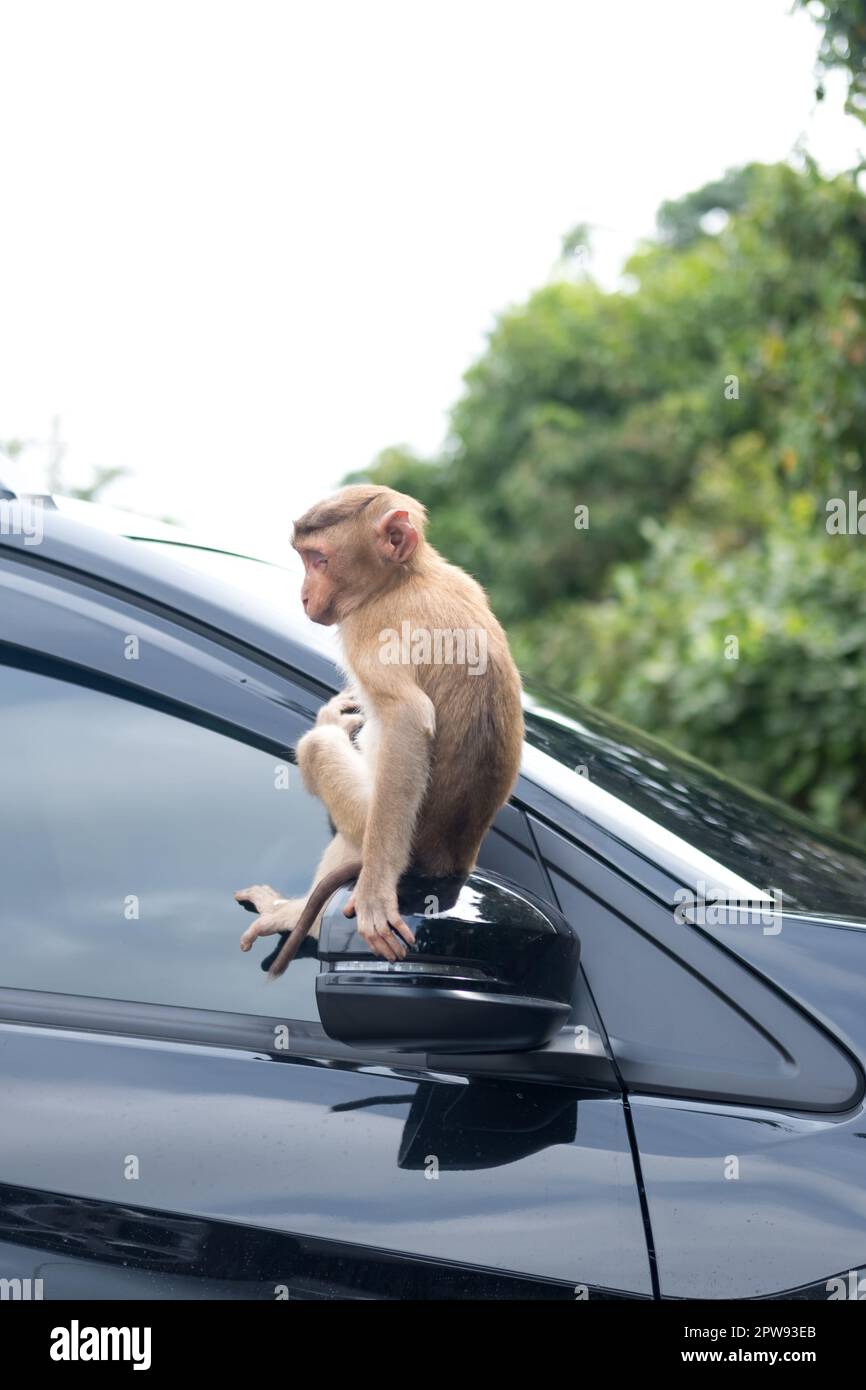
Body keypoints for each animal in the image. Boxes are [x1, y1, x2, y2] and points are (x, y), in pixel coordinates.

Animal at [234, 483, 523, 975]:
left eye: (319, 560)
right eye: (305, 558)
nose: (303, 596)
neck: (407, 578)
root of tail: (452, 859)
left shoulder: (369, 631)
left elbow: (407, 718)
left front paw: (373, 893)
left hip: (370, 817)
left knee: (318, 751)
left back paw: (297, 916)